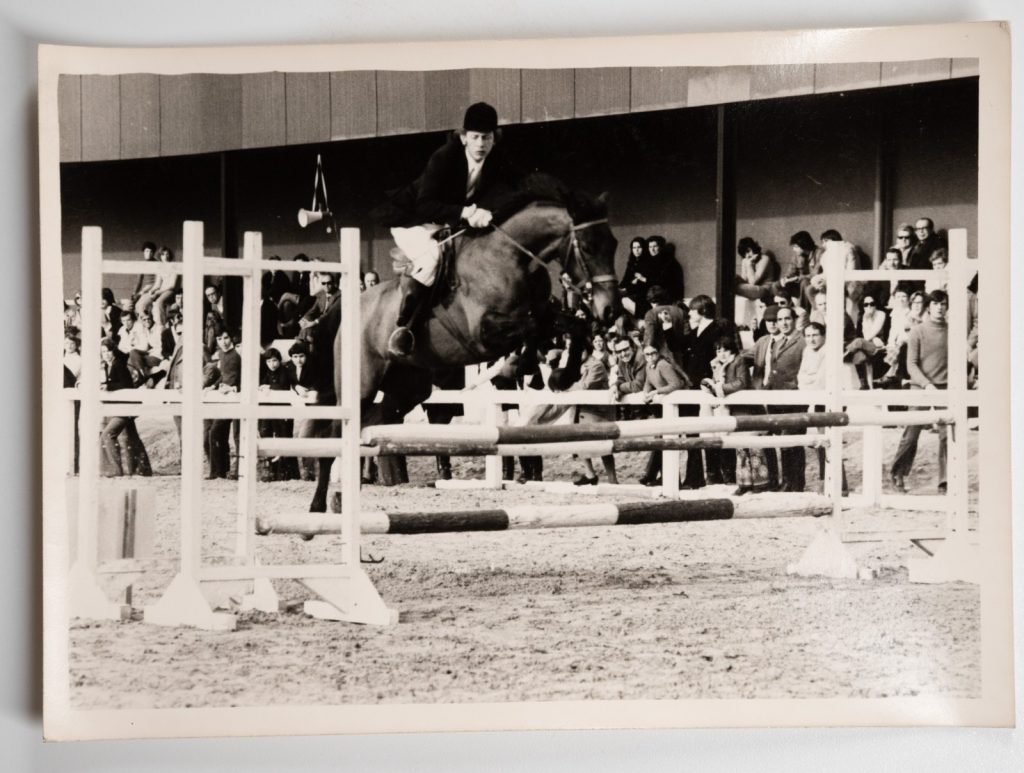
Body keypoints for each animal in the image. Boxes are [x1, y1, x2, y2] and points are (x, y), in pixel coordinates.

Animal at [308, 184, 620, 513]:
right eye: (588, 247)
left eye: (613, 244)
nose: (610, 310)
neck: (512, 258)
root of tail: (349, 307)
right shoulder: (483, 333)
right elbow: (532, 328)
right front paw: (522, 366)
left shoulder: (544, 314)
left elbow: (573, 326)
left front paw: (562, 375)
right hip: (361, 386)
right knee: (335, 436)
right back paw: (318, 504)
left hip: (407, 389)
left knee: (371, 425)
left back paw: (346, 493)